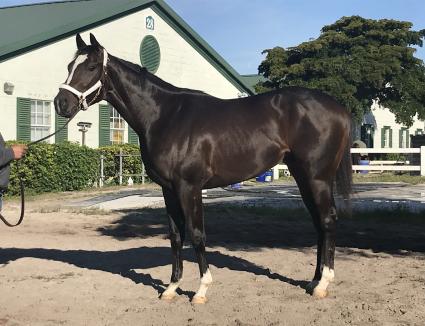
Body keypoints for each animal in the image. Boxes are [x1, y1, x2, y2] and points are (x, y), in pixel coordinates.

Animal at [53, 34, 352, 304]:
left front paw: (201, 290)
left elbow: (197, 235)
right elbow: (176, 236)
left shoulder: (189, 187)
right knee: (318, 223)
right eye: (69, 66)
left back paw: (323, 284)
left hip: (317, 178)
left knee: (328, 220)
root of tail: (338, 109)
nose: (61, 103)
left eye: (91, 67)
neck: (164, 116)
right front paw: (172, 288)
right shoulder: (169, 190)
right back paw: (313, 280)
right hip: (303, 177)